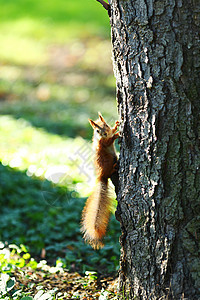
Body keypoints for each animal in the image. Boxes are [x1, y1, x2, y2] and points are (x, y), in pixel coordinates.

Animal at [81, 112, 119, 248]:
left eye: (106, 125)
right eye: (97, 130)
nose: (105, 133)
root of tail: (101, 177)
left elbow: (112, 131)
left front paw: (116, 126)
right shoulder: (103, 143)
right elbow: (108, 142)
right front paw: (116, 135)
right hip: (107, 160)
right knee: (110, 170)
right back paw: (114, 168)